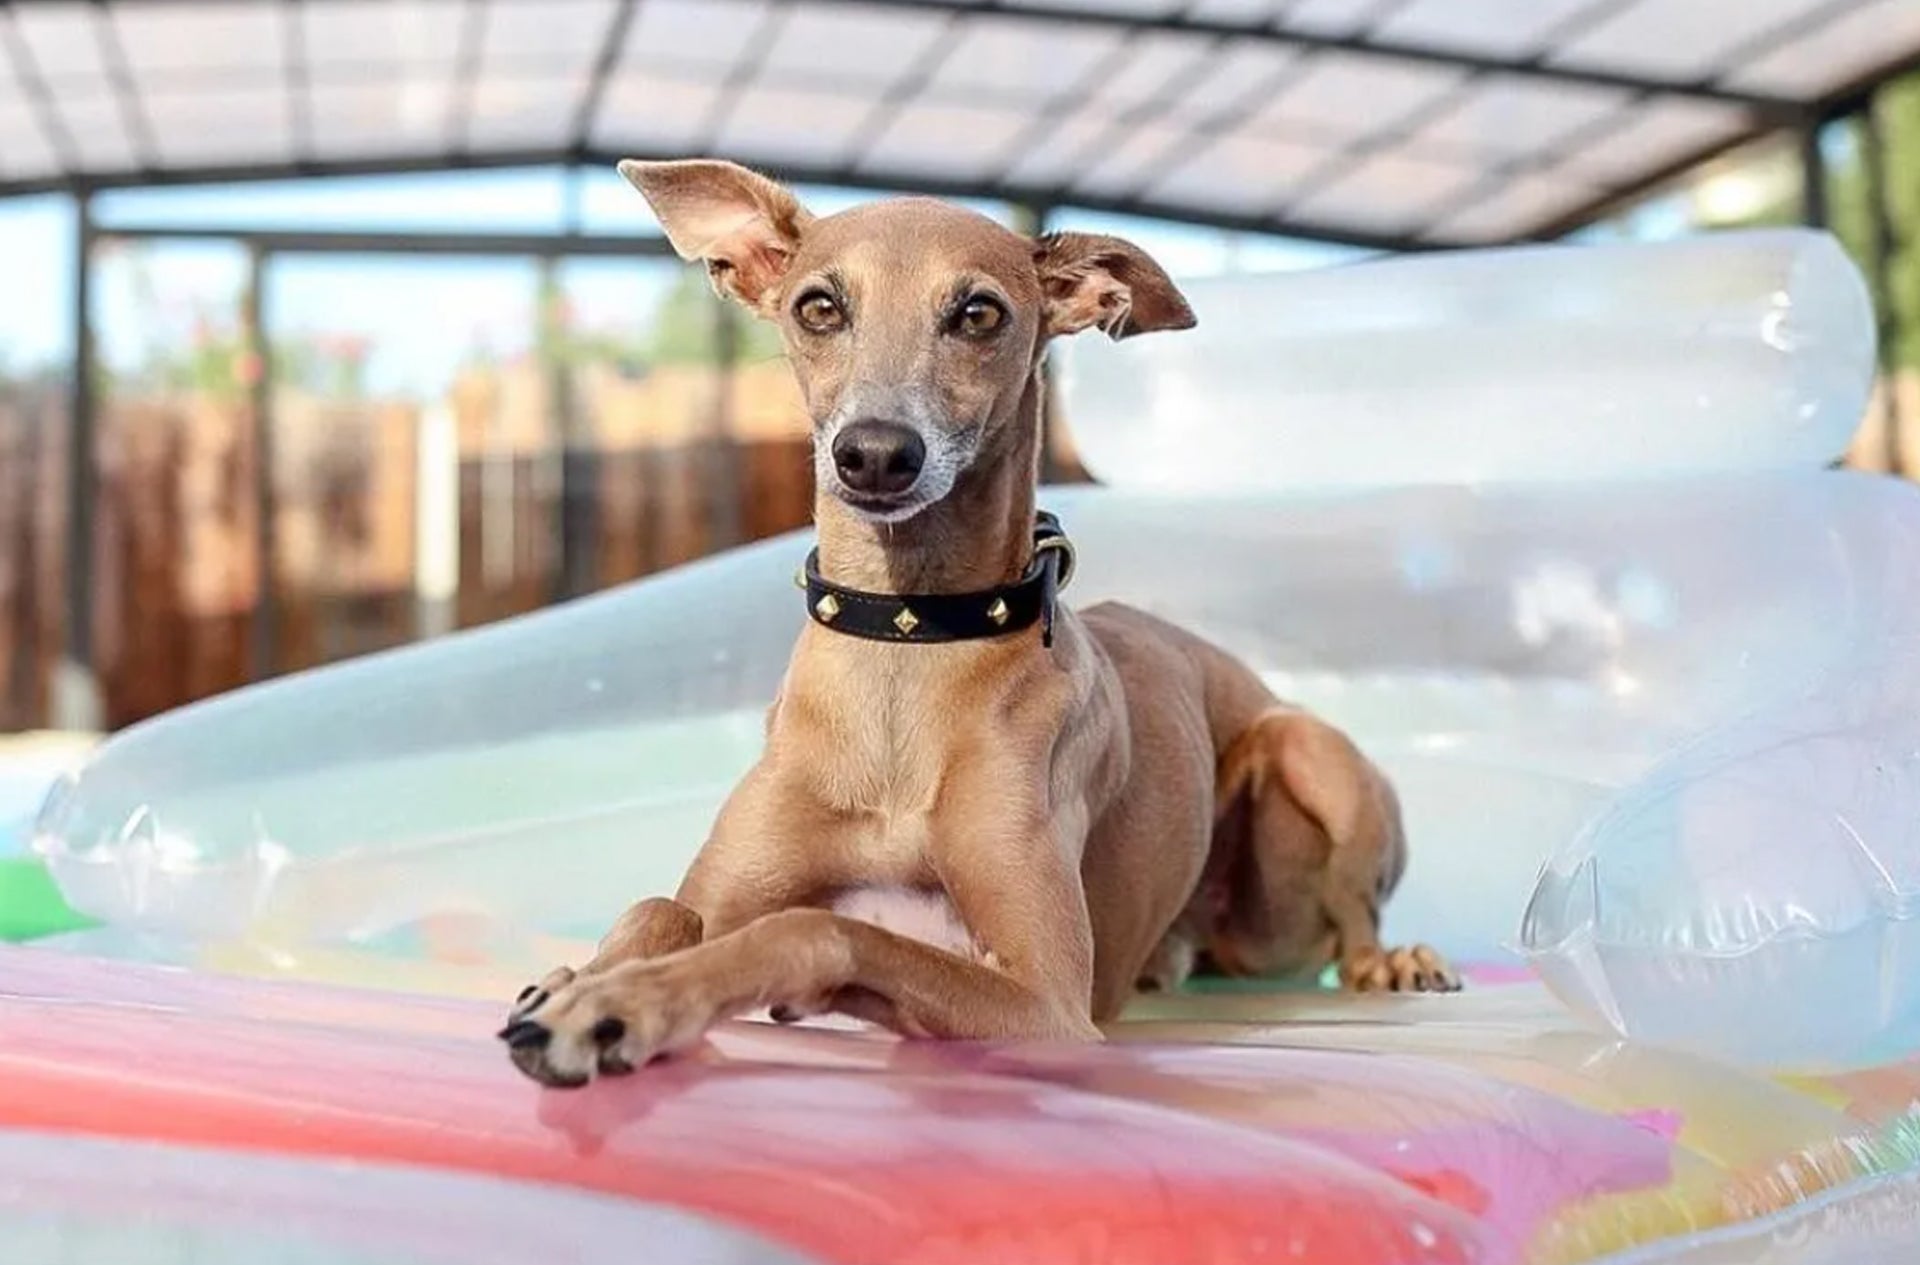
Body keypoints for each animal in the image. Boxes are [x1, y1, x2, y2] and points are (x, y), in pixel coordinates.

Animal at [495, 158, 1451, 1090]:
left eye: (978, 312)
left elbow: (822, 928)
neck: (906, 641)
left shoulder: (1048, 1003)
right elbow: (662, 907)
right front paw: (579, 981)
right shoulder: (728, 888)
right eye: (819, 305)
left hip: (1307, 761)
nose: (876, 454)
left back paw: (1394, 961)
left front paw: (618, 1007)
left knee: (1351, 914)